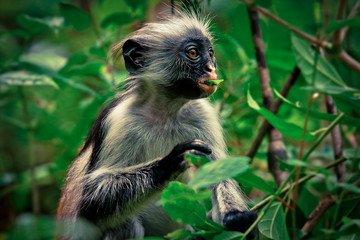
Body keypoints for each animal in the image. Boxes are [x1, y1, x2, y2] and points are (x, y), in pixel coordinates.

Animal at [57, 9, 256, 240]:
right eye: (193, 53)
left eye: (211, 53)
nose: (211, 68)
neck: (165, 113)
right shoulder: (118, 120)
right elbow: (89, 204)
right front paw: (170, 162)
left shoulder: (202, 113)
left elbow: (220, 172)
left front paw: (237, 218)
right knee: (125, 223)